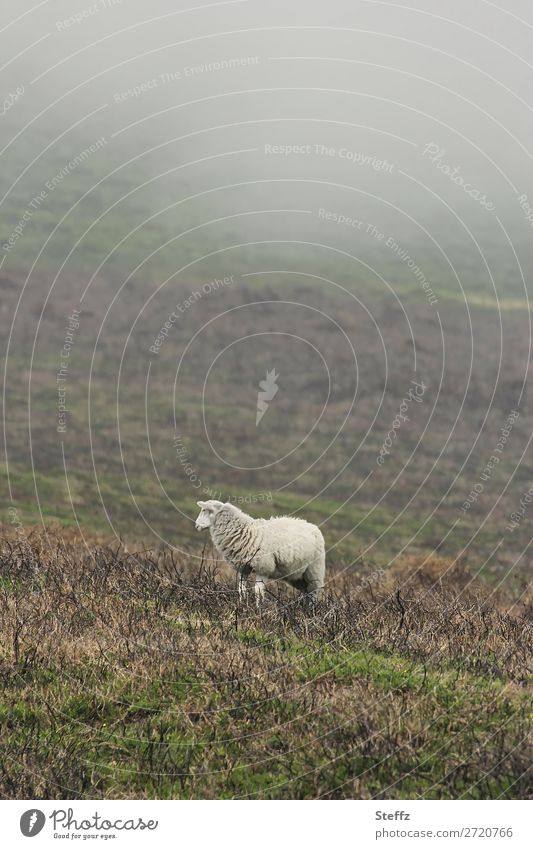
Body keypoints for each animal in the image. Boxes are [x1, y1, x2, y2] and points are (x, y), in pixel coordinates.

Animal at [194, 496, 324, 604]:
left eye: (205, 510)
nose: (196, 526)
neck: (247, 532)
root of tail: (314, 527)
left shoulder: (263, 568)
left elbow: (258, 591)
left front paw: (258, 609)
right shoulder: (243, 568)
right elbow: (241, 589)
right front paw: (242, 605)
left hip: (314, 570)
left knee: (314, 593)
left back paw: (311, 612)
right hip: (297, 576)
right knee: (307, 592)